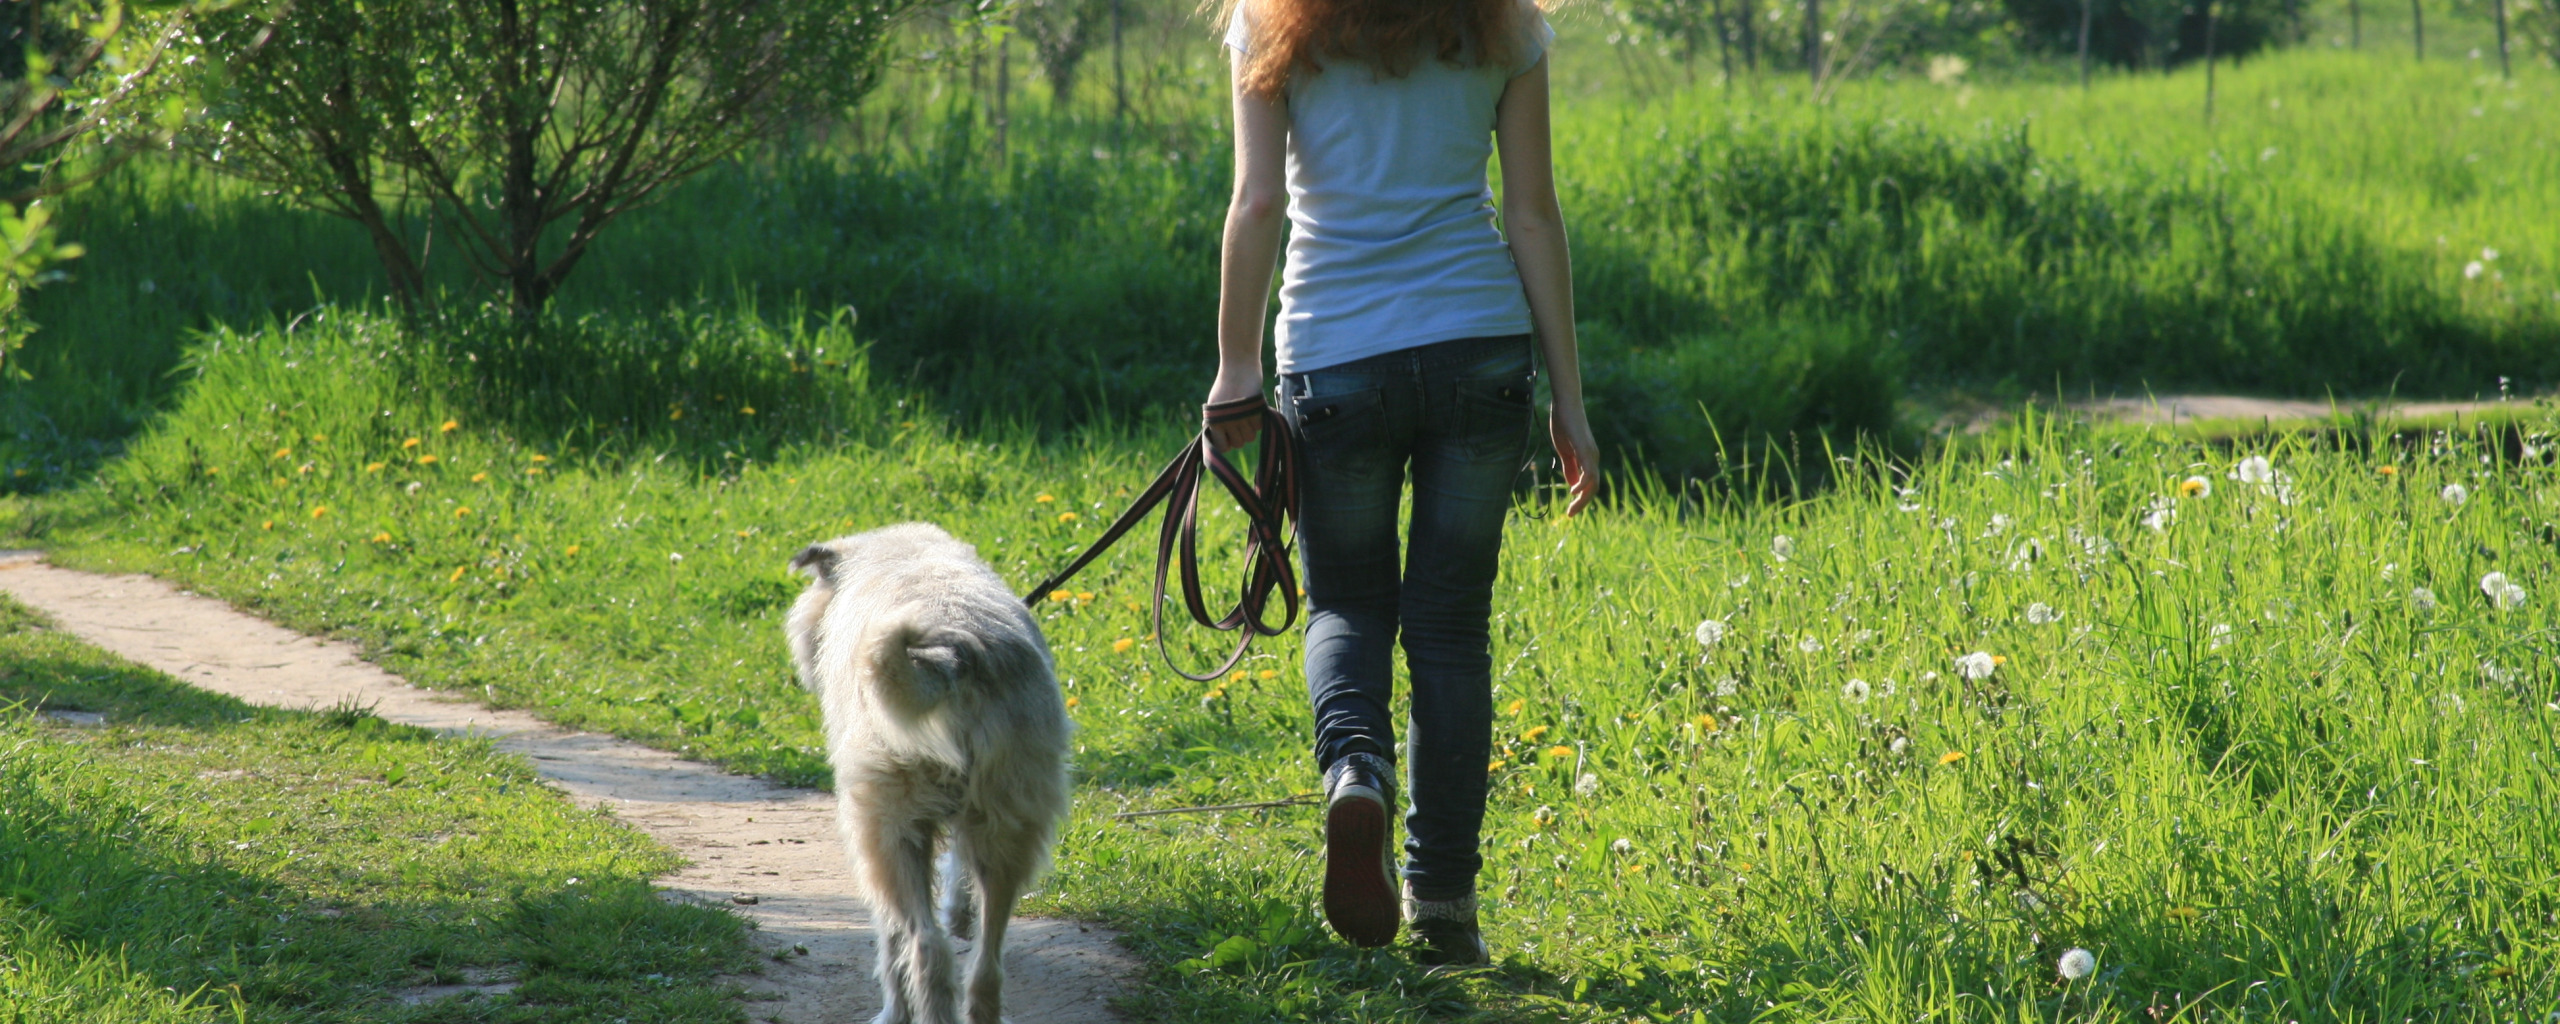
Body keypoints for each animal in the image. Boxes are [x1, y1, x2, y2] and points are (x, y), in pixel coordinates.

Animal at [773, 524, 1064, 1024]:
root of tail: (948, 656)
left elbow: (890, 939)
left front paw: (894, 1010)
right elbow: (958, 873)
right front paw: (959, 913)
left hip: (889, 828)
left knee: (925, 946)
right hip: (1010, 818)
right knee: (987, 959)